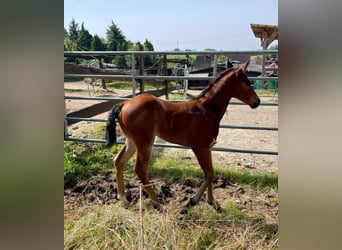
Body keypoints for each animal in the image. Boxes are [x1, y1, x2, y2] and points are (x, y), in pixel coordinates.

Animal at [105, 60, 260, 211]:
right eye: (247, 83)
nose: (257, 102)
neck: (207, 110)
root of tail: (124, 104)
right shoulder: (199, 147)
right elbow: (209, 173)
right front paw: (192, 201)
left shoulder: (208, 147)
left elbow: (211, 172)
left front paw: (212, 202)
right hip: (144, 143)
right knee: (140, 169)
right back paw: (158, 203)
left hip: (132, 141)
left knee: (119, 161)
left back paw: (124, 199)